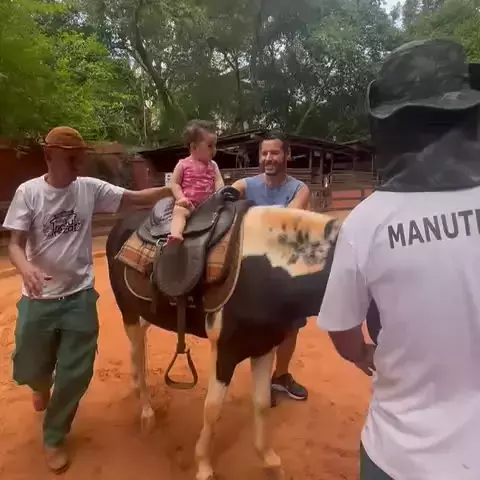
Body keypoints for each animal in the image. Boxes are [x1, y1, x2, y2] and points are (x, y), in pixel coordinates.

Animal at [105, 187, 341, 480]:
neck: (267, 270)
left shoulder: (264, 346)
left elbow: (262, 403)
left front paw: (271, 461)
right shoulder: (226, 351)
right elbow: (213, 409)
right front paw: (204, 465)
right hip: (129, 314)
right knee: (138, 353)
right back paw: (147, 413)